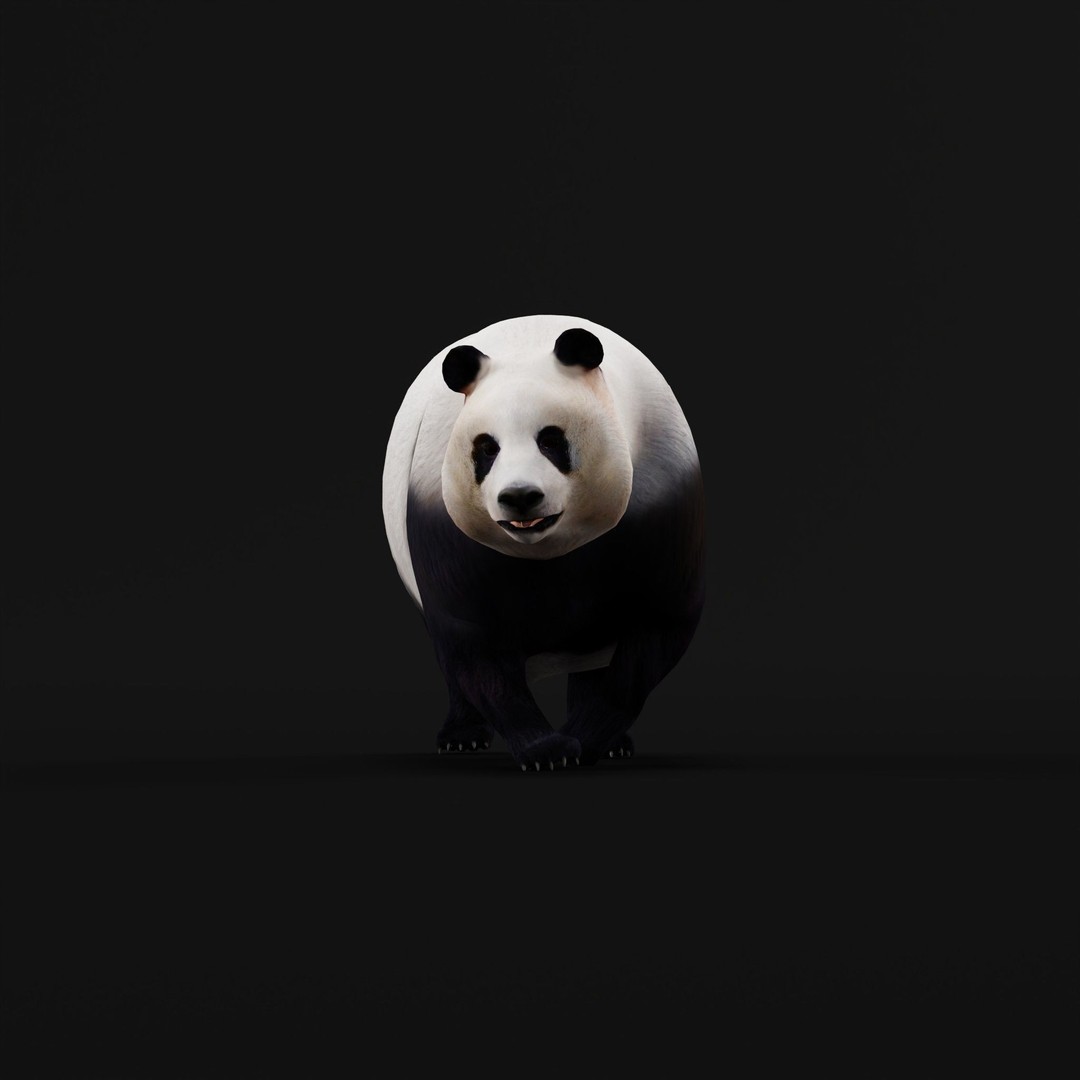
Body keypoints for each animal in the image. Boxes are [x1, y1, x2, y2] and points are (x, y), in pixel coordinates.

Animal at [382, 314, 705, 770]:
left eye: (551, 440)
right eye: (487, 448)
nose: (520, 496)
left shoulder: (664, 501)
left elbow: (657, 627)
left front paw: (585, 741)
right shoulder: (441, 521)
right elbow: (473, 643)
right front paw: (548, 749)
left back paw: (614, 742)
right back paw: (461, 736)